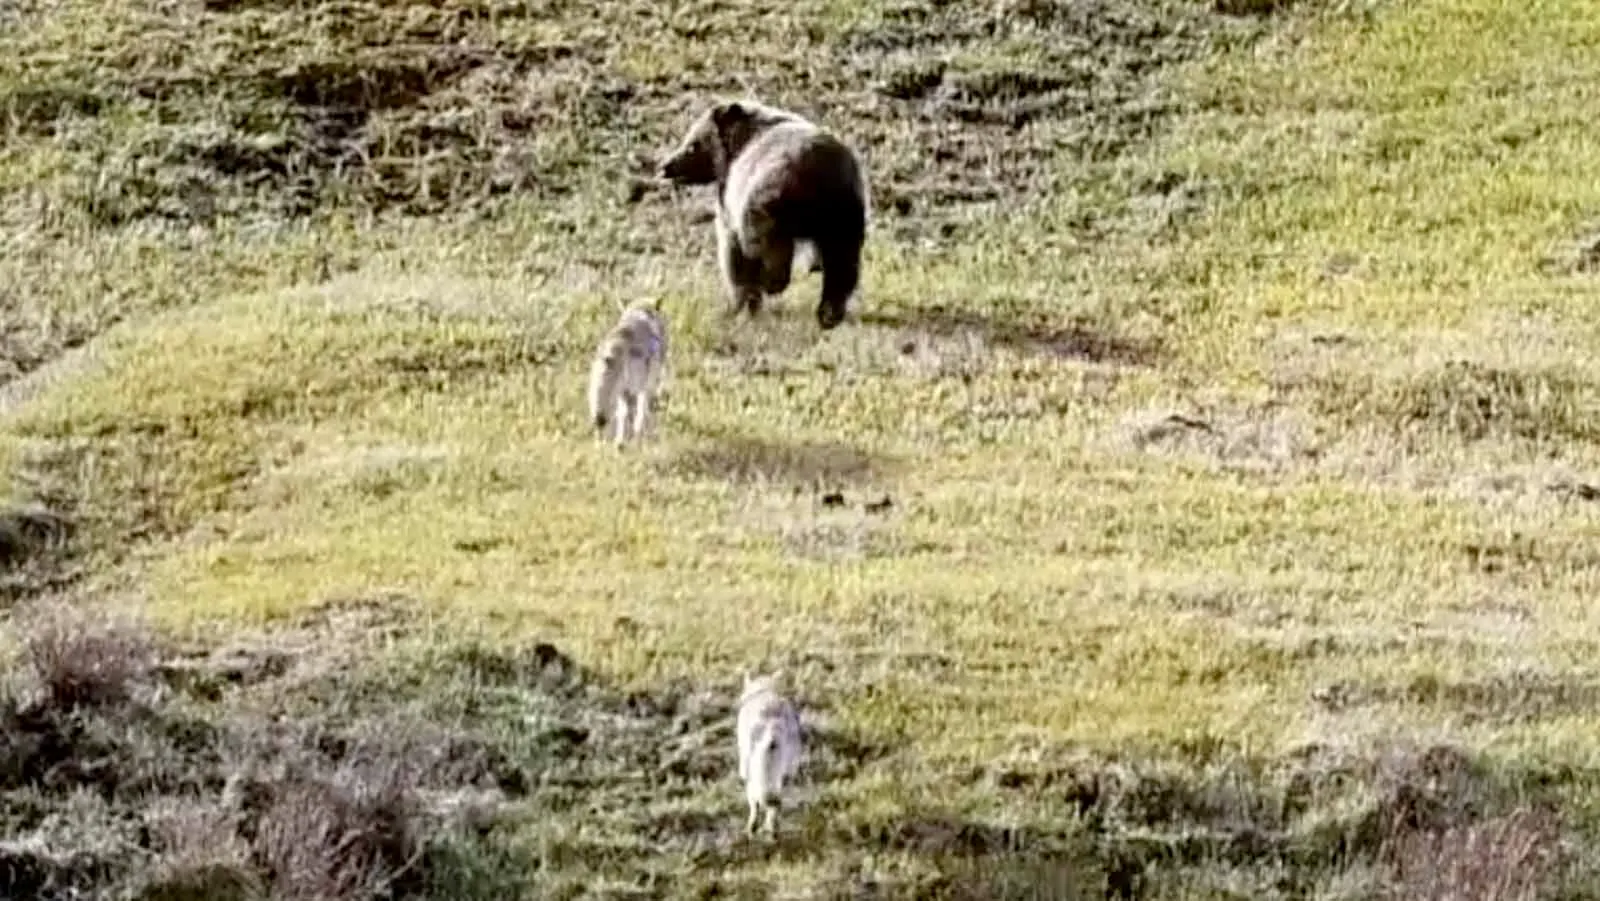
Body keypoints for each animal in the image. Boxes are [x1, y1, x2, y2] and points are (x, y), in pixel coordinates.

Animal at [656, 99, 870, 331]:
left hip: (771, 200)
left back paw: (773, 284)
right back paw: (829, 313)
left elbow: (732, 250)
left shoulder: (733, 199)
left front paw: (739, 303)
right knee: (842, 263)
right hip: (844, 213)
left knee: (770, 247)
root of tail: (815, 172)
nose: (665, 166)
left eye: (692, 144)